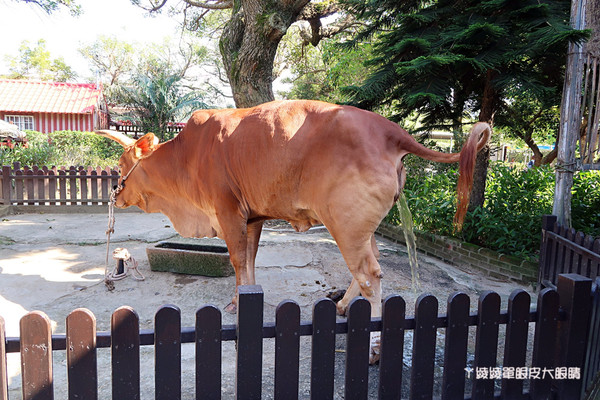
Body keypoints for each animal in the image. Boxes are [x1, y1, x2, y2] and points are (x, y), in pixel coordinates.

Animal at [99, 99, 492, 362]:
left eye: (120, 163)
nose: (115, 192)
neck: (186, 155)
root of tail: (389, 130)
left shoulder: (228, 211)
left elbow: (238, 259)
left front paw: (238, 306)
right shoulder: (252, 216)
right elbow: (250, 259)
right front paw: (243, 298)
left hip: (346, 224)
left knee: (370, 274)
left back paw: (374, 348)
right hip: (361, 228)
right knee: (369, 267)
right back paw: (342, 306)